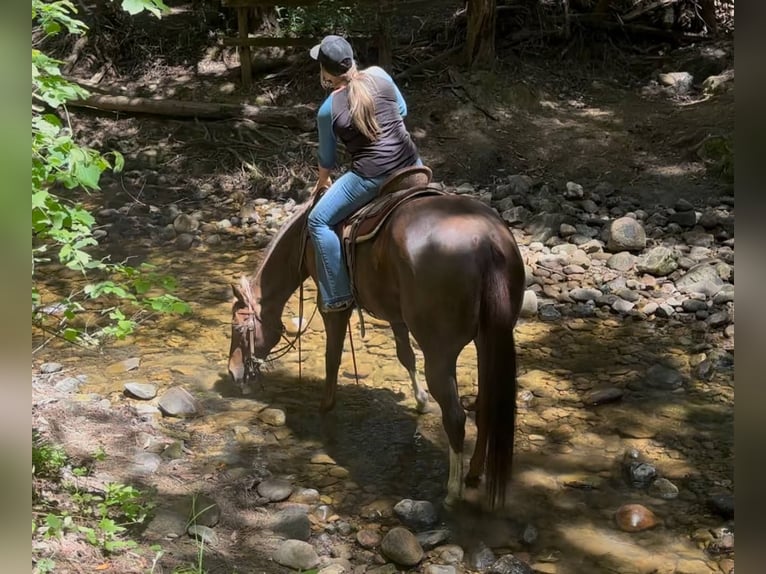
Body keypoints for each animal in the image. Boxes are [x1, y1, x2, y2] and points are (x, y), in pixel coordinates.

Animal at [227, 171, 526, 509]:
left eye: (238, 328)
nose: (233, 372)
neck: (304, 240)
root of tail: (486, 243)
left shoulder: (332, 306)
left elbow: (333, 356)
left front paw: (325, 406)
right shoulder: (396, 315)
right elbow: (404, 355)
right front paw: (419, 400)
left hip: (440, 352)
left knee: (456, 416)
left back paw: (453, 490)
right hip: (488, 340)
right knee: (485, 407)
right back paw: (474, 474)